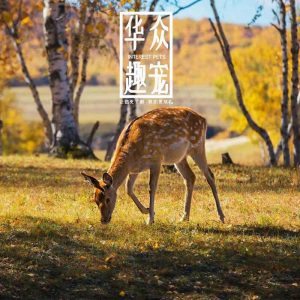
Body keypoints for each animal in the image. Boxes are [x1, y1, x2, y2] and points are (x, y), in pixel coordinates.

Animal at [82, 106, 225, 224]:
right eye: (95, 200)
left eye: (107, 199)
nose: (103, 220)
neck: (132, 155)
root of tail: (203, 119)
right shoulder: (134, 169)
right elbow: (128, 189)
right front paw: (147, 210)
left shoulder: (156, 160)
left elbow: (152, 187)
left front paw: (150, 219)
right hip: (179, 157)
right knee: (190, 177)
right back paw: (184, 217)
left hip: (197, 146)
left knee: (210, 175)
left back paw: (221, 216)